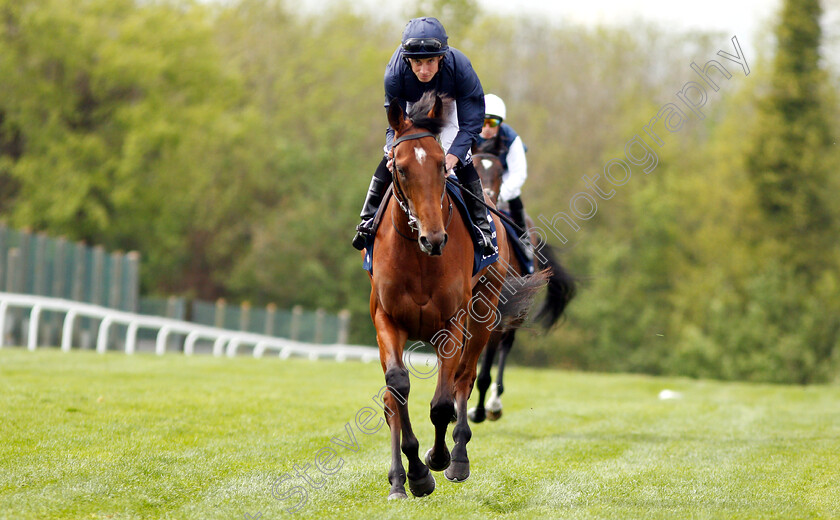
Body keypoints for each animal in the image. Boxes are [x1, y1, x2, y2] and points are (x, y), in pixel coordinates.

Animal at [362, 92, 548, 500]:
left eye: (439, 166)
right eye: (400, 169)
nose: (433, 237)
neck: (419, 257)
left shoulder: (454, 323)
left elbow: (443, 402)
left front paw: (438, 459)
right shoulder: (386, 318)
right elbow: (397, 389)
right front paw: (412, 474)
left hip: (485, 312)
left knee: (467, 376)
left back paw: (461, 451)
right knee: (393, 399)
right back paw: (400, 478)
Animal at [466, 152, 576, 424]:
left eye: (498, 172)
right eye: (475, 167)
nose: (485, 194)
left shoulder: (496, 314)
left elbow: (485, 372)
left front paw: (479, 411)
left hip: (516, 310)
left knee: (506, 344)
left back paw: (494, 404)